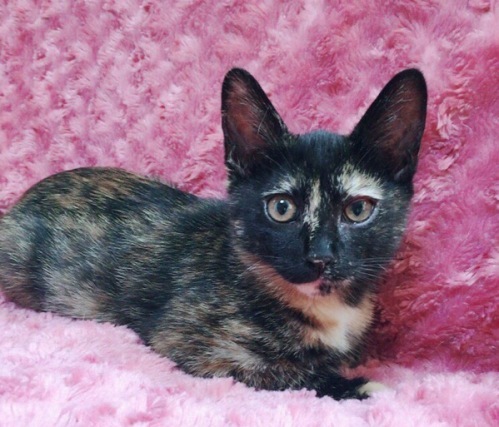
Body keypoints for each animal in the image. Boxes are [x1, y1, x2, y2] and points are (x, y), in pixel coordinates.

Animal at [0, 67, 427, 400]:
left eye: (357, 210)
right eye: (281, 208)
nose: (320, 257)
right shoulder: (193, 343)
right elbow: (287, 372)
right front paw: (363, 387)